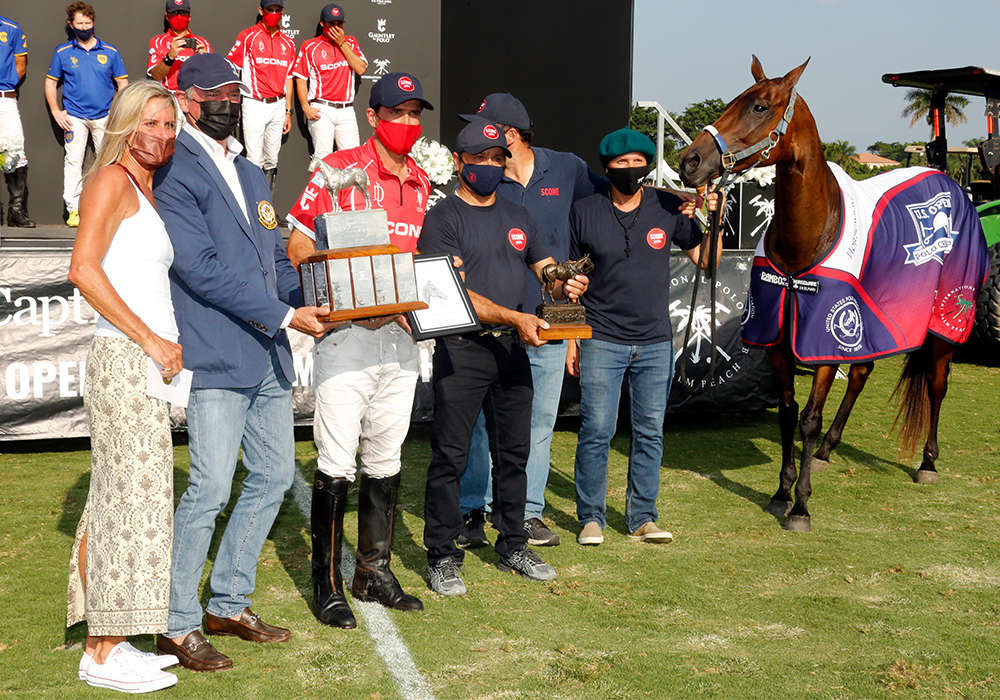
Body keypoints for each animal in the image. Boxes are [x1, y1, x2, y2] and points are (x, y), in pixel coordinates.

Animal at [676, 57, 988, 532]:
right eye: (732, 102)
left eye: (760, 107)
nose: (689, 161)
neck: (809, 234)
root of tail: (953, 185)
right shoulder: (781, 341)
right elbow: (789, 412)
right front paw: (781, 492)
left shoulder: (824, 334)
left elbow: (808, 418)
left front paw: (801, 506)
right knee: (861, 375)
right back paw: (826, 451)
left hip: (943, 320)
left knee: (936, 385)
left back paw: (927, 463)